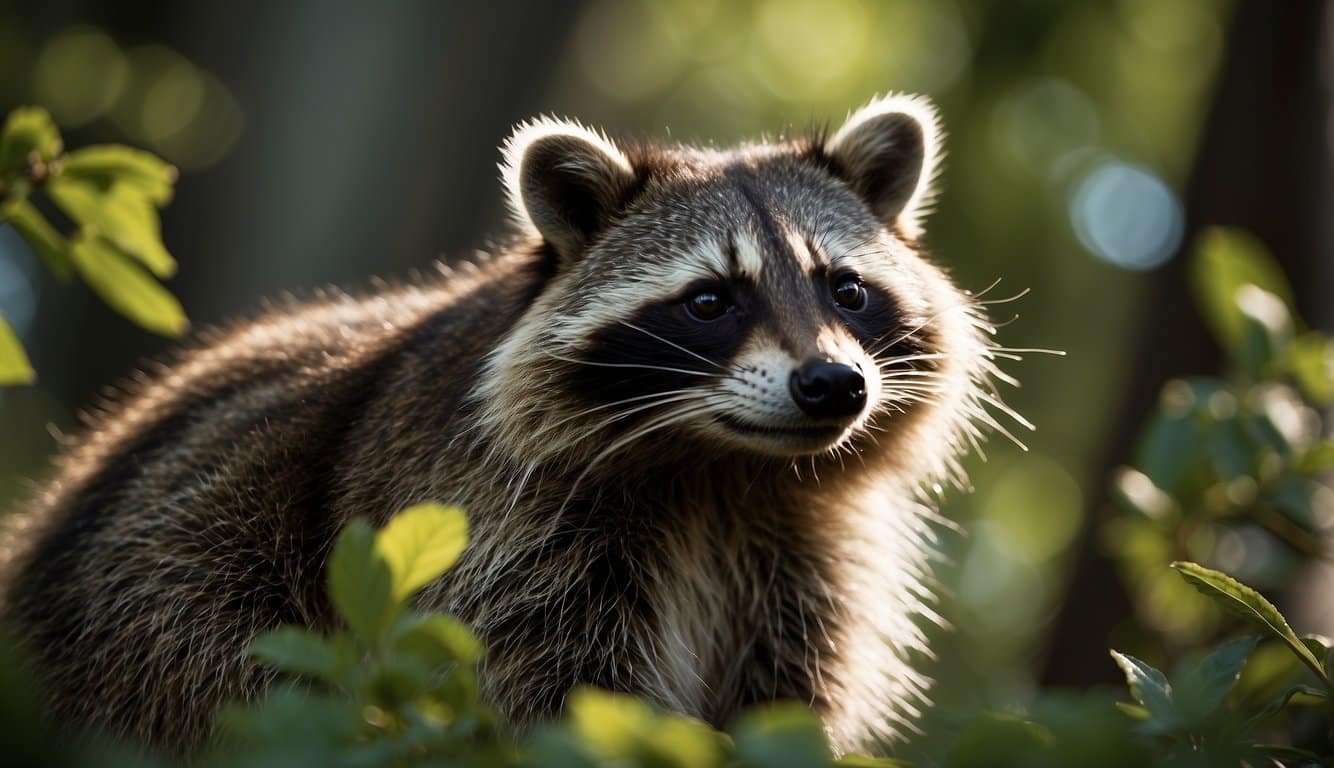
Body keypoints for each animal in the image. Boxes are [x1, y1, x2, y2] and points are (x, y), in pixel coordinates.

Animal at [2, 93, 1019, 752]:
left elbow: (788, 699)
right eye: (709, 300)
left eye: (845, 289)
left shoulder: (805, 557)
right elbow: (552, 694)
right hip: (170, 601)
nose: (833, 386)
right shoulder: (492, 528)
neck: (719, 470)